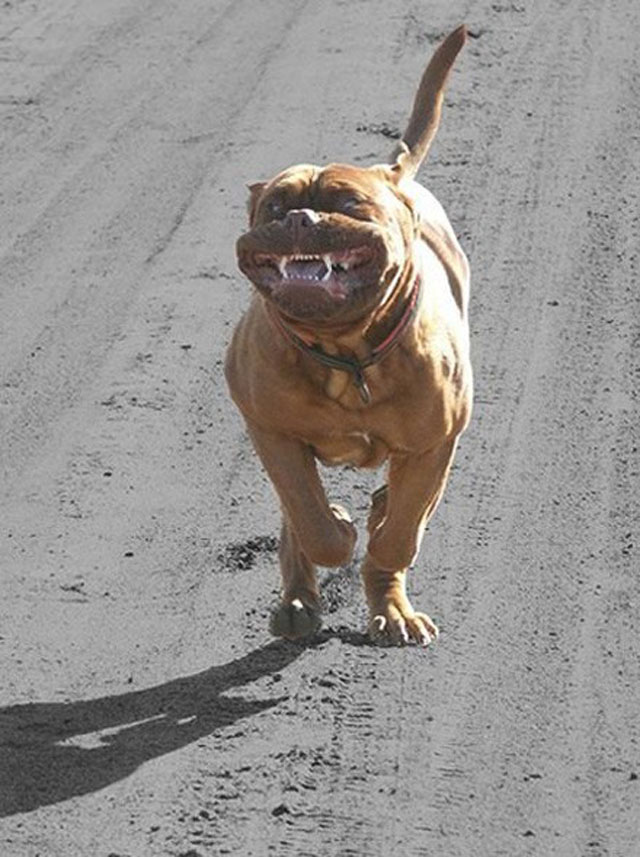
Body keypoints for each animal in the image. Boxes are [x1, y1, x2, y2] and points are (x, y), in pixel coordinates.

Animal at [225, 25, 470, 640]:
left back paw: (393, 608)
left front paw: (384, 546)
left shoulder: (436, 443)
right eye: (276, 205)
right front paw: (336, 524)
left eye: (349, 204)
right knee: (296, 519)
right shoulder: (271, 431)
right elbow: (309, 519)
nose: (301, 218)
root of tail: (396, 173)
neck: (346, 349)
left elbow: (403, 529)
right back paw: (297, 602)